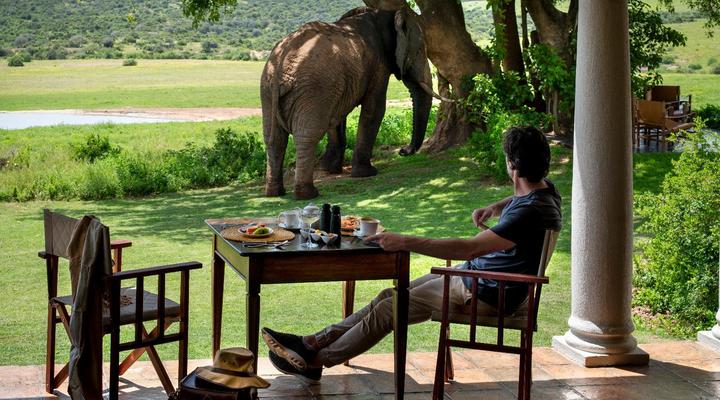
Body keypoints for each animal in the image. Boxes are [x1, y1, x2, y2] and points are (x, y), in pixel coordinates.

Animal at [261, 6, 440, 199]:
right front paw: (367, 173)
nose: (403, 151)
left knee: (274, 139)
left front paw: (330, 169)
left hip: (268, 91)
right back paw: (308, 194)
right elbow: (375, 110)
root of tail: (280, 67)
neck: (384, 15)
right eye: (420, 51)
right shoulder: (378, 65)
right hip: (312, 88)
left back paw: (274, 192)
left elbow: (337, 117)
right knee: (307, 136)